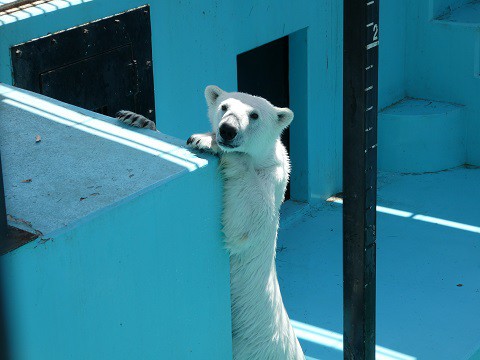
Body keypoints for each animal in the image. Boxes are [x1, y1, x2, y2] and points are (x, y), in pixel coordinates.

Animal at [188, 86, 304, 358]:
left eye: (254, 115)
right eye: (224, 107)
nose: (227, 130)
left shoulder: (273, 180)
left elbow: (248, 219)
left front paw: (205, 141)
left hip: (254, 342)